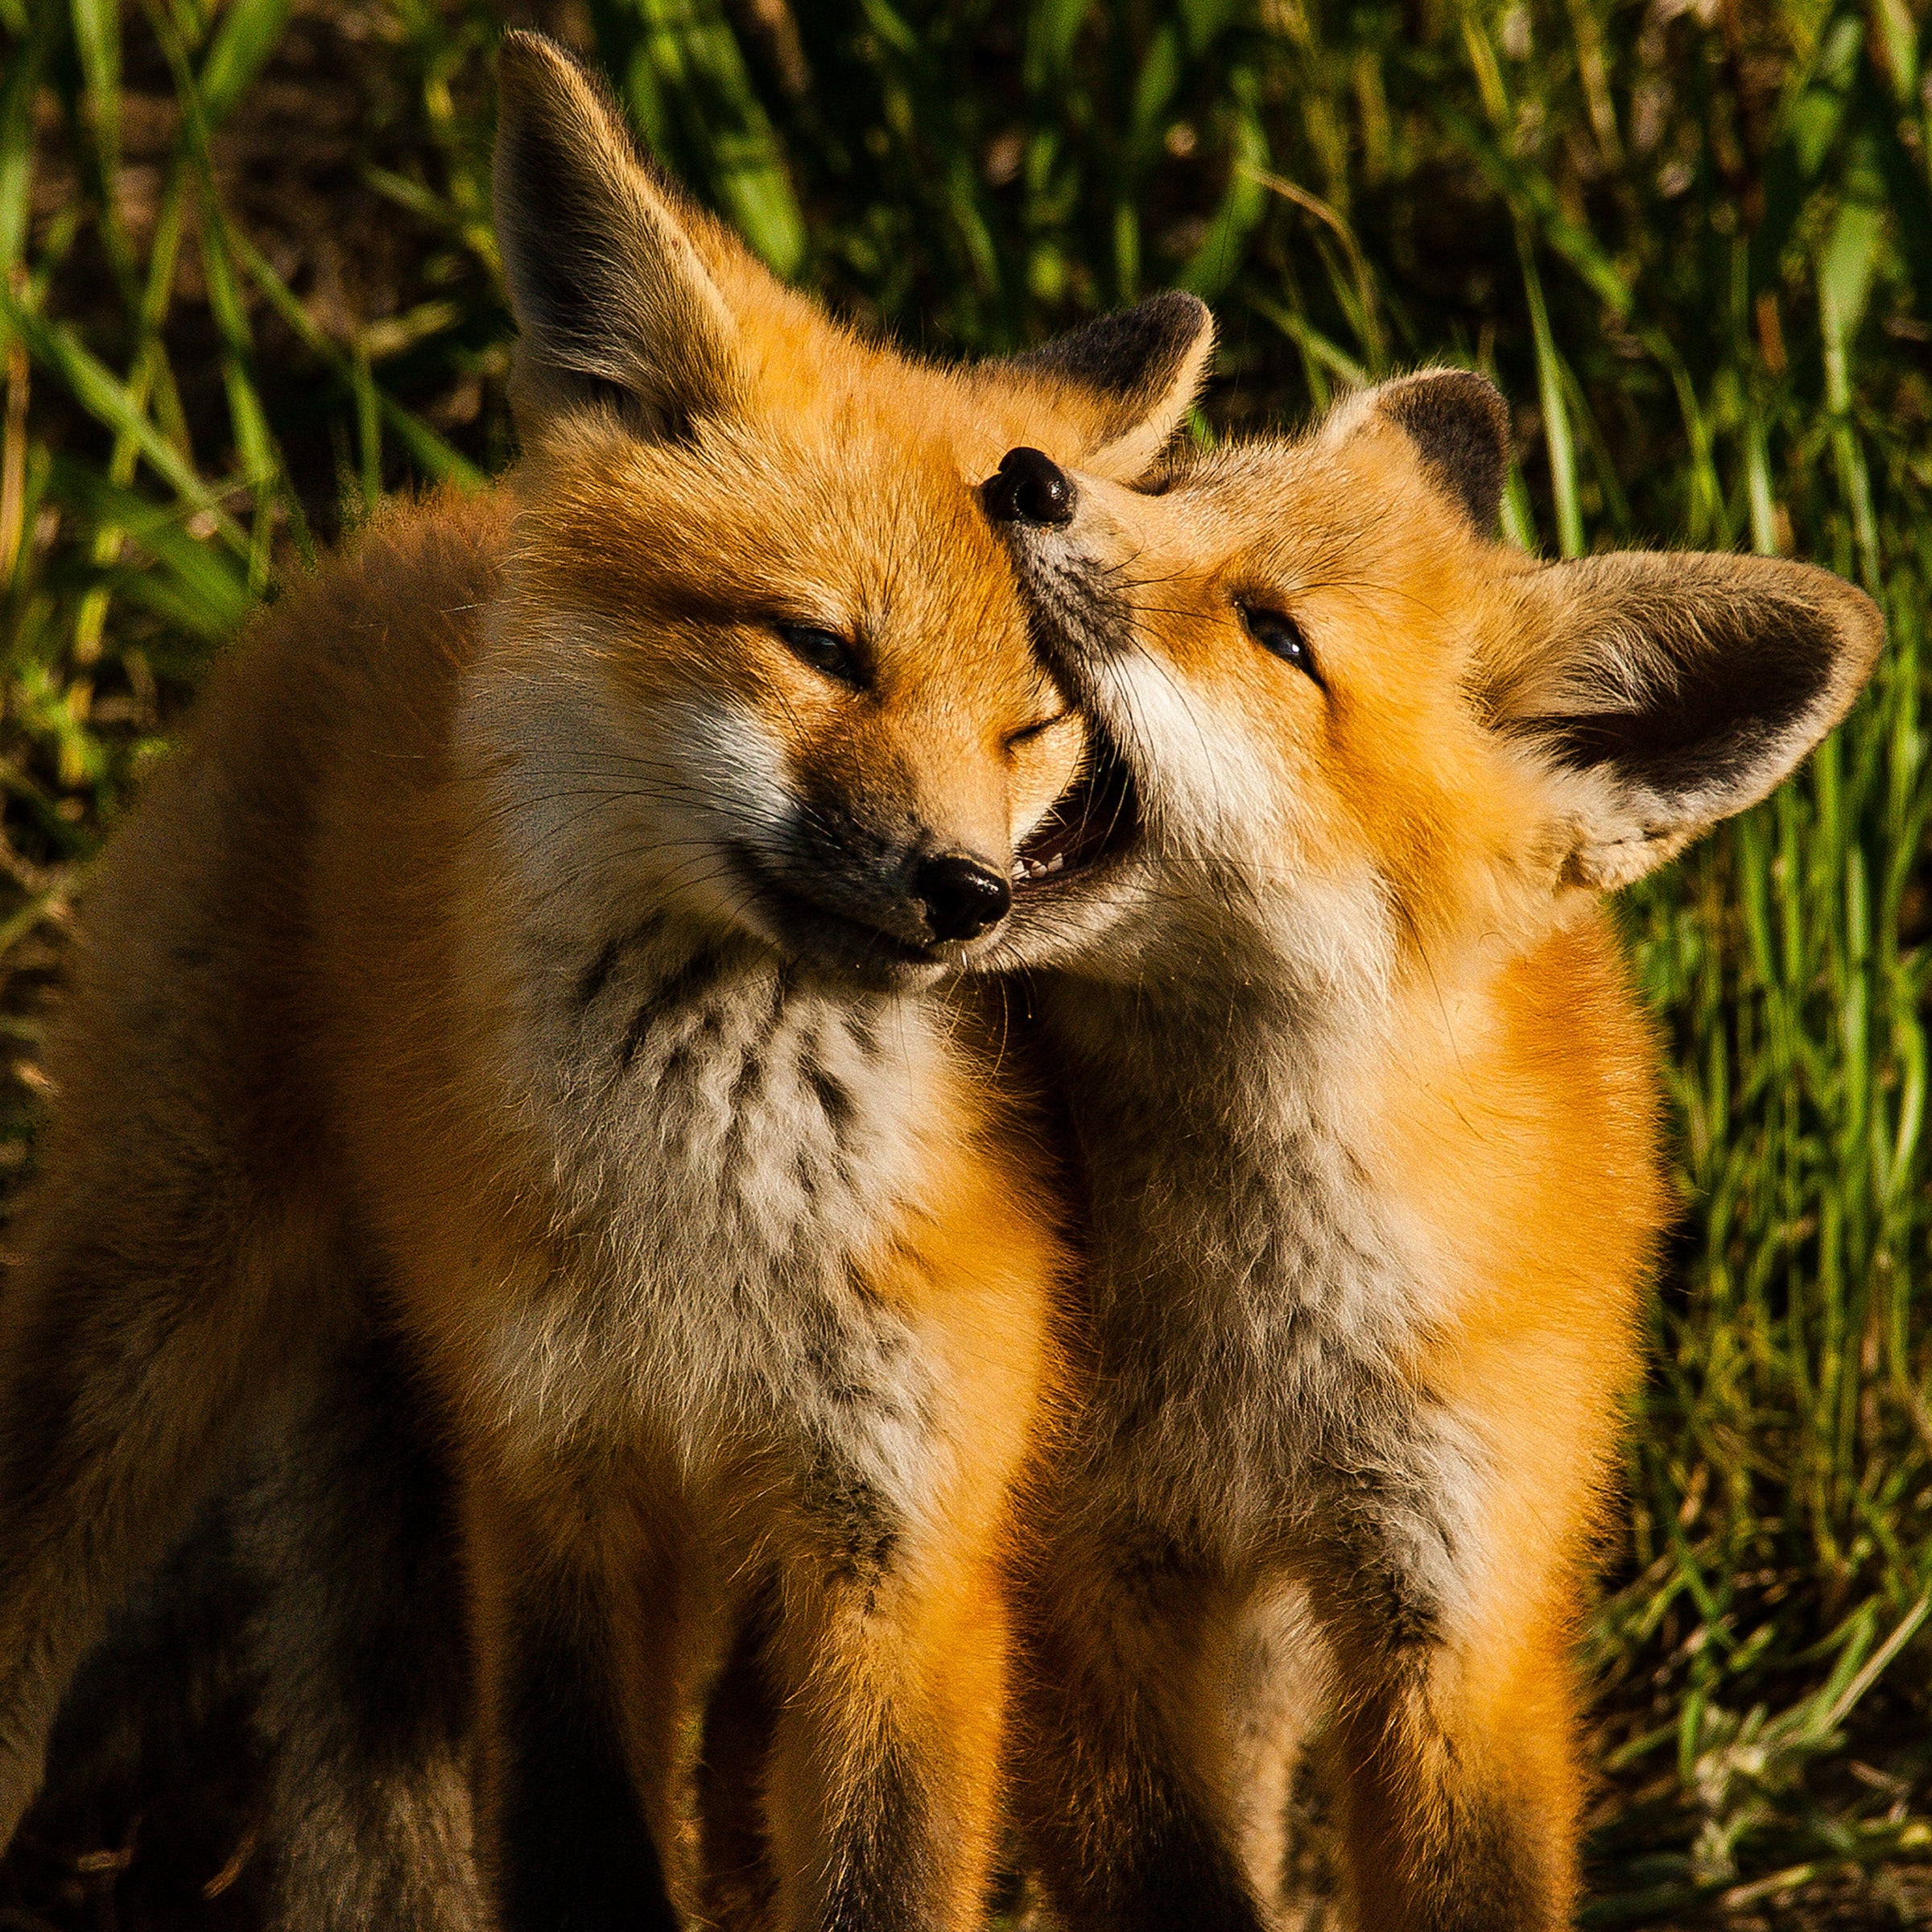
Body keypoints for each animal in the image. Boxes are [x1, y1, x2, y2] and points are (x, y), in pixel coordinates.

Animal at [0, 31, 1218, 1932]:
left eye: (1035, 726)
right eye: (822, 648)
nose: (966, 894)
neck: (710, 1236)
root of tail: (395, 528)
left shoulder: (904, 1549)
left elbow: (872, 1871)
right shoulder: (558, 1489)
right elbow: (579, 1844)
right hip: (153, 1299)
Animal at [977, 374, 1882, 1930]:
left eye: (1276, 634)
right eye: (1180, 485)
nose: (1028, 476)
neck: (1261, 1338)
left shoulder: (1462, 1617)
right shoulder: (1085, 1573)